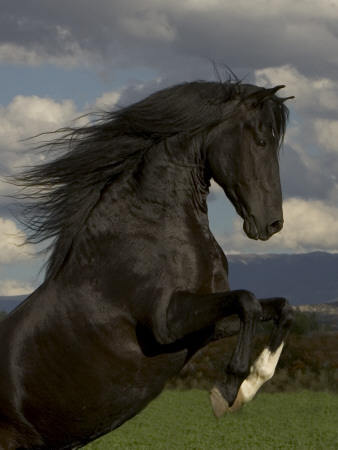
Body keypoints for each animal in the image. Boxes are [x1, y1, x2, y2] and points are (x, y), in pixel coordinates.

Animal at [0, 79, 294, 448]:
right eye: (261, 141)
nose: (273, 224)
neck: (151, 228)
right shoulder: (165, 323)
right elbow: (248, 302)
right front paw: (225, 394)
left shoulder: (214, 324)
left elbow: (281, 308)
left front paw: (248, 388)